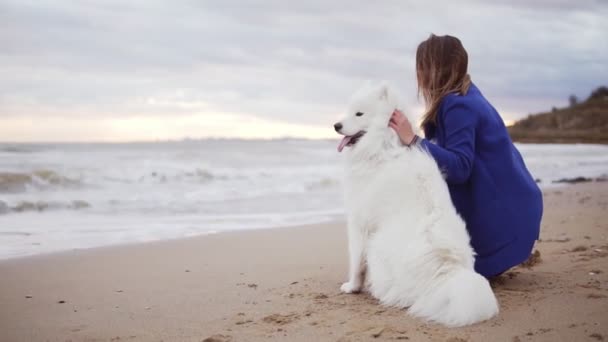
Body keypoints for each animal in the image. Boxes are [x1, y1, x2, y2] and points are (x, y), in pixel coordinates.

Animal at [332, 82, 498, 326]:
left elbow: (356, 262)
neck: (382, 146)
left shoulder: (359, 224)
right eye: (348, 111)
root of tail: (447, 272)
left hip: (377, 245)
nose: (336, 125)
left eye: (359, 114)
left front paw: (352, 287)